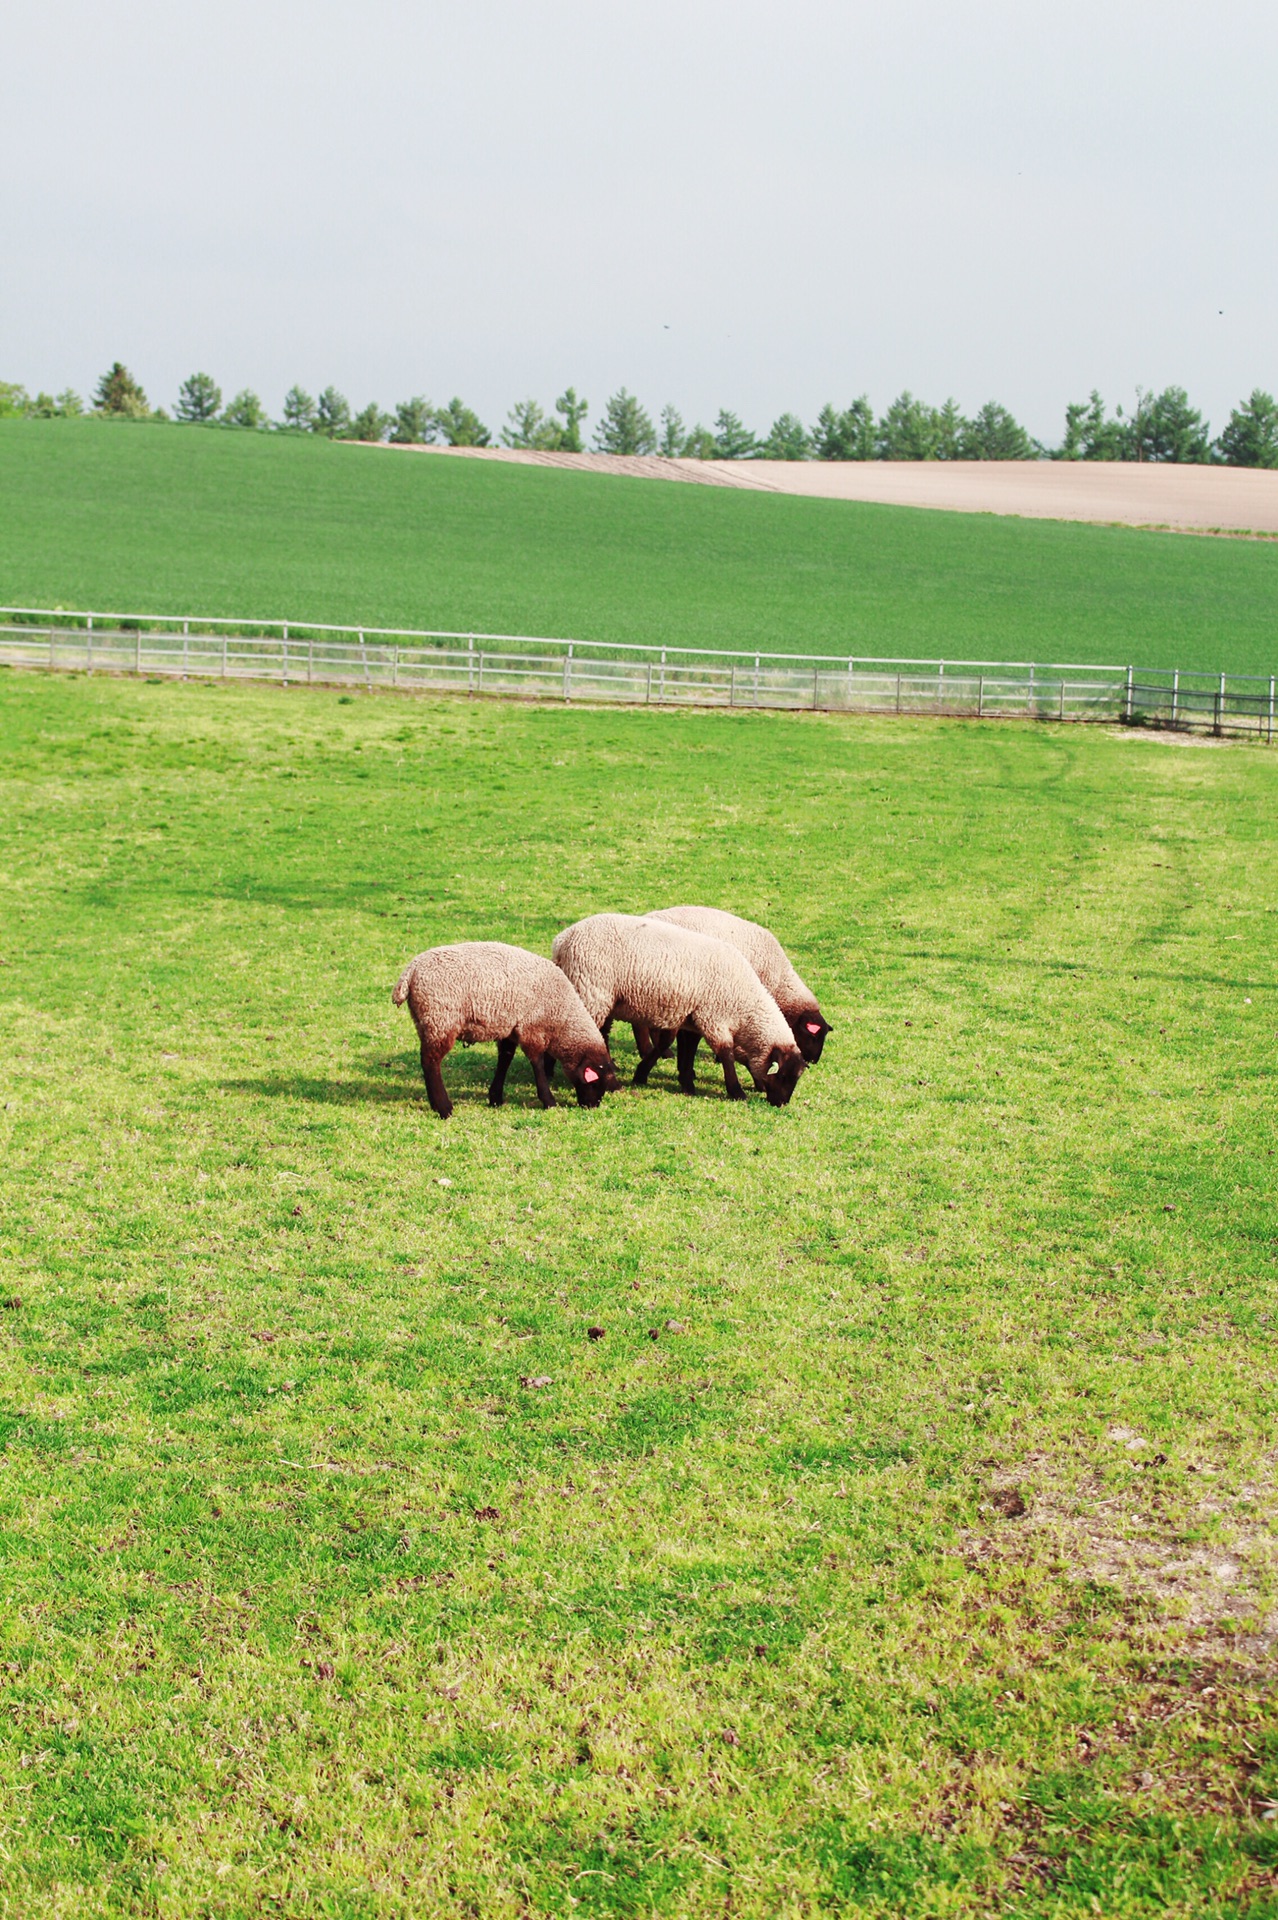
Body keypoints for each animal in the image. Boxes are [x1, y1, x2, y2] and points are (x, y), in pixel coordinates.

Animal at [393, 940, 621, 1121]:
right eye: (596, 1083)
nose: (591, 1106)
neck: (561, 1017)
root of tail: (409, 973)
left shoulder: (511, 1029)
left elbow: (505, 1059)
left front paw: (495, 1097)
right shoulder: (531, 1028)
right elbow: (537, 1063)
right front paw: (548, 1100)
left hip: (426, 1021)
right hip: (441, 1019)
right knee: (431, 1062)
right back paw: (444, 1108)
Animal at [548, 917, 805, 1113]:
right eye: (784, 1076)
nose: (781, 1103)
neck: (744, 1007)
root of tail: (562, 940)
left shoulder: (693, 1017)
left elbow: (683, 1048)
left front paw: (683, 1082)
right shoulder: (713, 1017)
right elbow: (725, 1053)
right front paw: (735, 1091)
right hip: (591, 990)